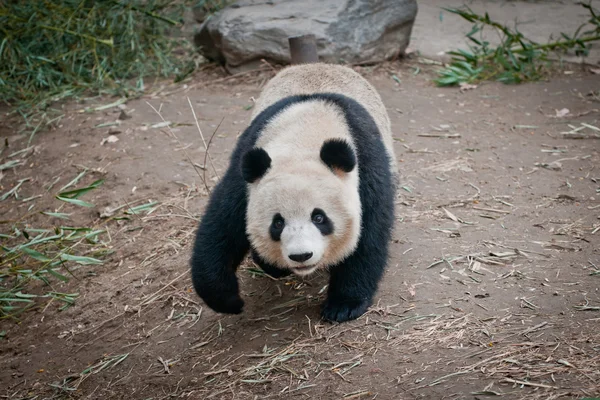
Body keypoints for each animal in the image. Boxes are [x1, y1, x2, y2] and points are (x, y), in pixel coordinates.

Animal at [191, 64, 398, 324]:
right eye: (277, 223)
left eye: (319, 217)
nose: (301, 256)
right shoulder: (246, 169)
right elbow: (222, 227)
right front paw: (229, 300)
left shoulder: (366, 164)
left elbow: (368, 234)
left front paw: (343, 305)